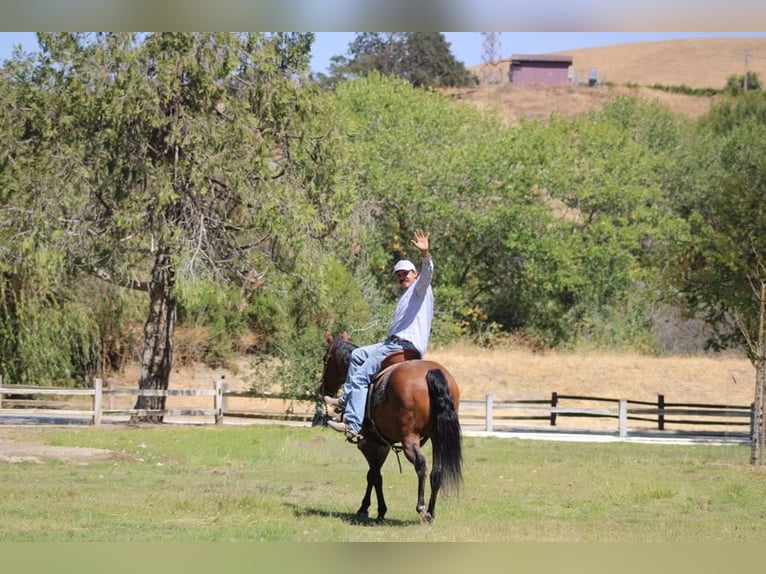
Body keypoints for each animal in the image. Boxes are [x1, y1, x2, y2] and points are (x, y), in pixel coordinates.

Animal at [318, 331, 463, 524]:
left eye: (326, 359)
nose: (324, 388)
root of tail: (432, 372)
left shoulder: (369, 443)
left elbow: (373, 475)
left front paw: (370, 509)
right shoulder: (383, 445)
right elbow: (374, 474)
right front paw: (374, 509)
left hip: (410, 438)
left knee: (421, 465)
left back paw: (422, 509)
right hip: (438, 437)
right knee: (436, 472)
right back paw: (431, 513)